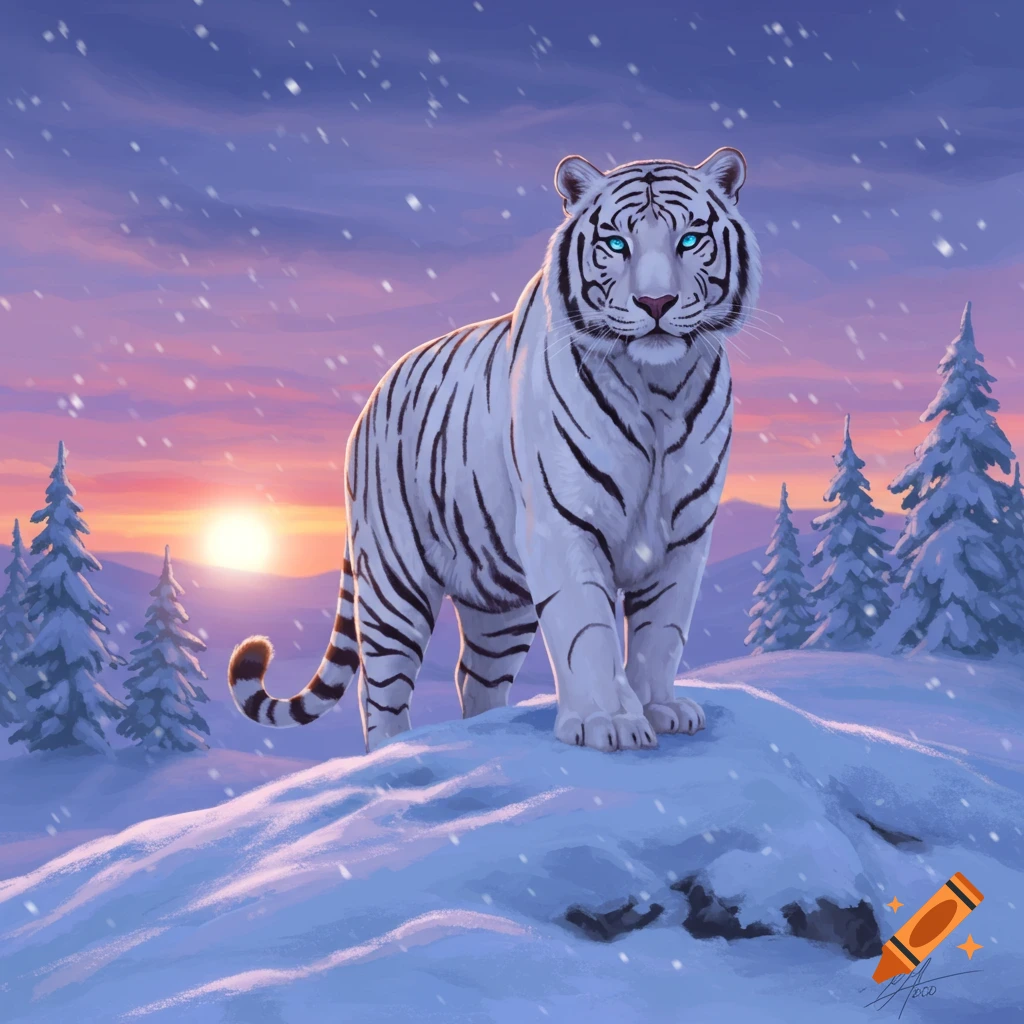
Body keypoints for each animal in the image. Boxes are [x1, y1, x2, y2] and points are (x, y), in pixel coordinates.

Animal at [228, 147, 761, 753]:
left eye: (690, 239)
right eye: (616, 243)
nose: (655, 301)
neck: (660, 389)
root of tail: (371, 400)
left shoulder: (683, 538)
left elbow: (662, 632)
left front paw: (660, 708)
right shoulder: (563, 527)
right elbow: (587, 631)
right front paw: (610, 722)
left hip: (499, 605)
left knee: (474, 676)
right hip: (393, 581)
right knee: (380, 690)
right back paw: (390, 753)